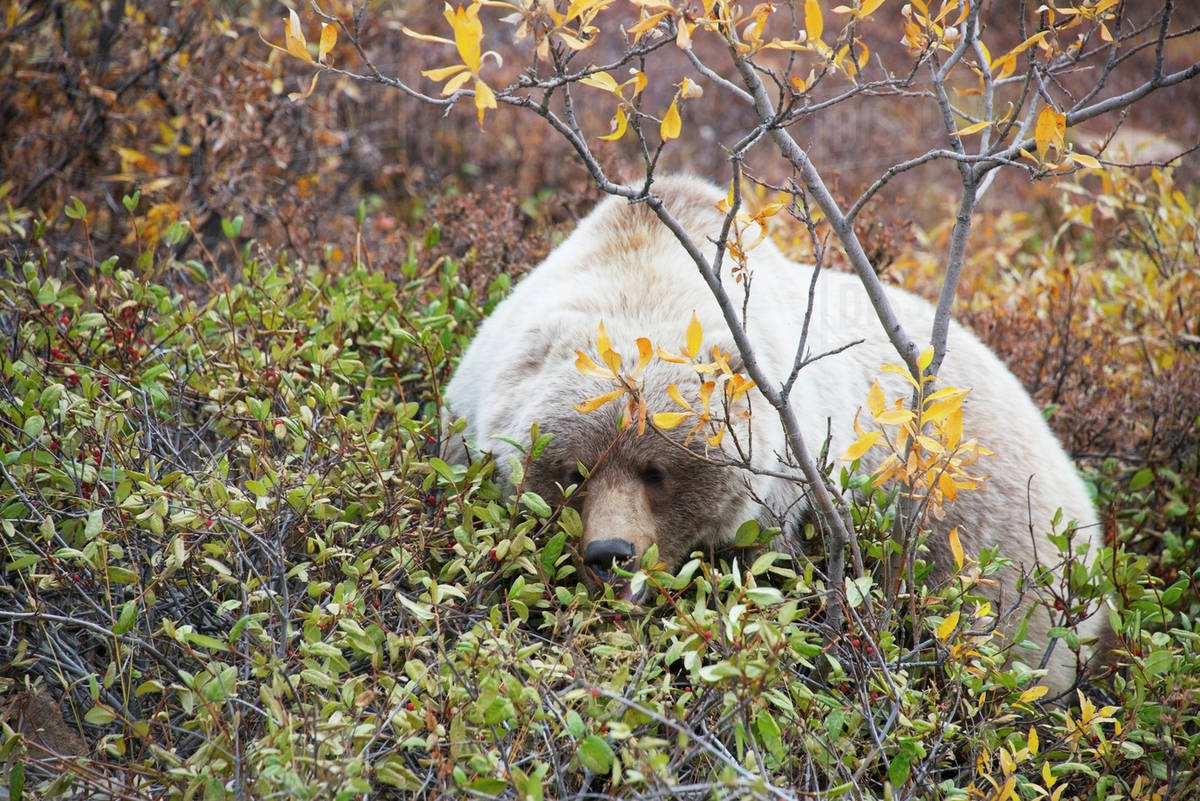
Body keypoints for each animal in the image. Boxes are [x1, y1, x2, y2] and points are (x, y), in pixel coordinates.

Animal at [443, 175, 1107, 696]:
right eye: (575, 469)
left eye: (656, 471)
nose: (611, 555)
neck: (643, 271)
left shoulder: (786, 501)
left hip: (983, 541)